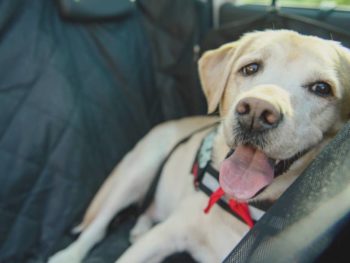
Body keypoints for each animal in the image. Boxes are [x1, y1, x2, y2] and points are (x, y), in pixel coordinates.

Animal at [47, 31, 350, 263]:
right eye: (250, 68)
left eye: (322, 88)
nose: (255, 112)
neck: (245, 207)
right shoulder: (166, 234)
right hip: (141, 167)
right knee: (97, 227)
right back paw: (68, 255)